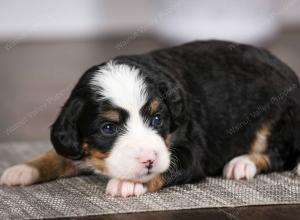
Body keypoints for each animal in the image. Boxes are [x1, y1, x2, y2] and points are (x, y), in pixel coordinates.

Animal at [0, 40, 300, 197]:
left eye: (157, 120)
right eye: (108, 128)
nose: (148, 159)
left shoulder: (190, 151)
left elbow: (164, 168)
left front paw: (129, 182)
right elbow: (57, 154)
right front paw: (24, 168)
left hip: (276, 116)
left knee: (279, 154)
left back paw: (242, 163)